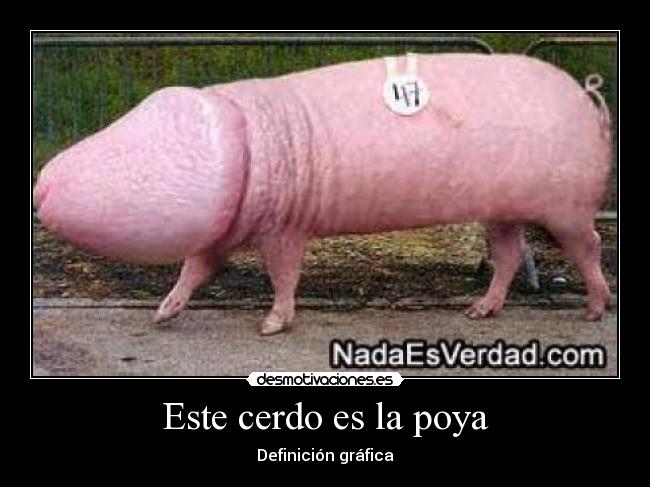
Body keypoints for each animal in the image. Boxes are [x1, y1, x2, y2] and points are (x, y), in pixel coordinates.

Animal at [34, 53, 612, 335]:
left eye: (146, 151)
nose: (38, 185)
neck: (257, 150)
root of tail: (585, 95)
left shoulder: (285, 227)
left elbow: (284, 276)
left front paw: (271, 327)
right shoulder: (224, 232)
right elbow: (194, 270)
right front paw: (161, 315)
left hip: (567, 204)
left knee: (589, 248)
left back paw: (594, 312)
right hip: (501, 210)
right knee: (509, 255)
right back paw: (477, 313)